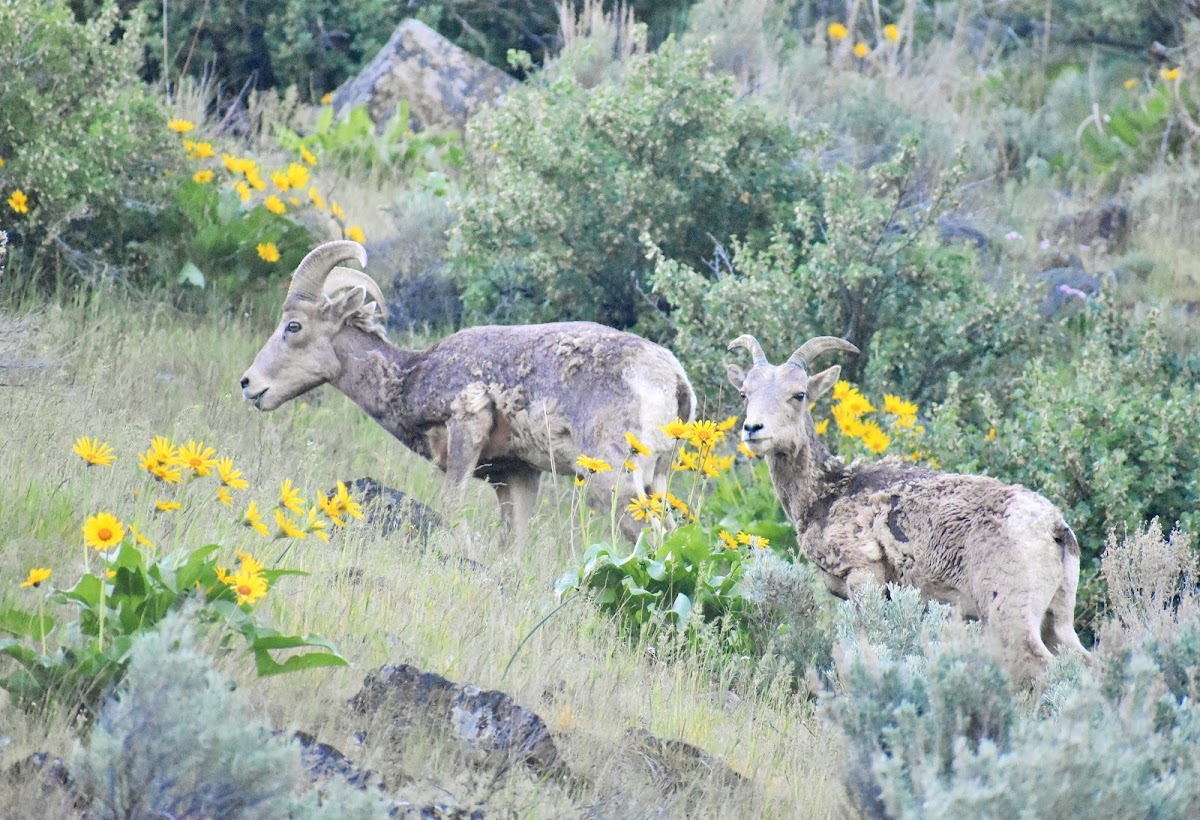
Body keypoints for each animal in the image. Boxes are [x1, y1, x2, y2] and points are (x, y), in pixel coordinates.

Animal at [240, 240, 700, 542]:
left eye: (294, 326)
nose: (249, 385)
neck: (412, 378)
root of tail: (674, 379)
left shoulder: (466, 430)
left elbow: (451, 508)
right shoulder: (516, 477)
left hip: (615, 482)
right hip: (656, 484)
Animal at [729, 331, 1089, 681]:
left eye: (799, 394)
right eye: (745, 393)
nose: (753, 429)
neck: (826, 492)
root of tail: (1054, 529)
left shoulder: (864, 576)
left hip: (1009, 615)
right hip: (1057, 619)